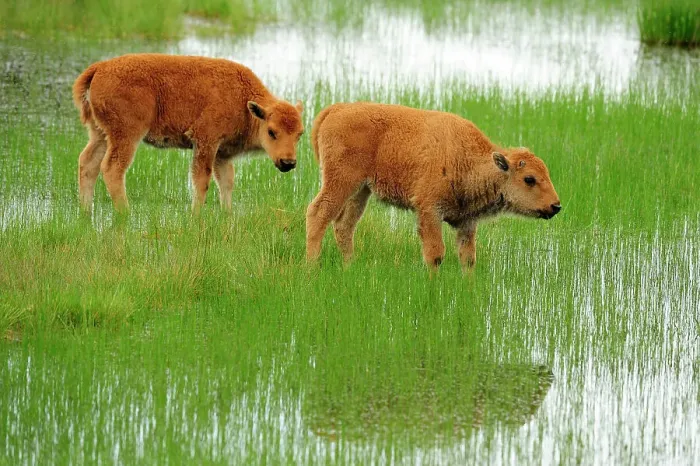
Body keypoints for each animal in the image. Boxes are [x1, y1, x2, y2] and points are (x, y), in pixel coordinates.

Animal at [72, 53, 304, 213]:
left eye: (300, 134)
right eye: (272, 131)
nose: (288, 162)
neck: (243, 100)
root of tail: (100, 68)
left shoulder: (222, 153)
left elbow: (226, 182)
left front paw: (227, 214)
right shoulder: (205, 142)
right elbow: (202, 181)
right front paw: (196, 216)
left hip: (100, 134)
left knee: (88, 163)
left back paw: (85, 211)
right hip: (127, 136)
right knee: (112, 168)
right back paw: (125, 213)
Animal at [306, 102, 561, 270]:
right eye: (529, 179)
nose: (556, 206)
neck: (467, 158)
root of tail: (336, 109)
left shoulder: (467, 222)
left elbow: (468, 258)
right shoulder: (429, 211)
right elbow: (435, 254)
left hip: (361, 191)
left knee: (344, 226)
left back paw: (350, 266)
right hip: (341, 182)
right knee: (319, 214)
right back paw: (311, 268)